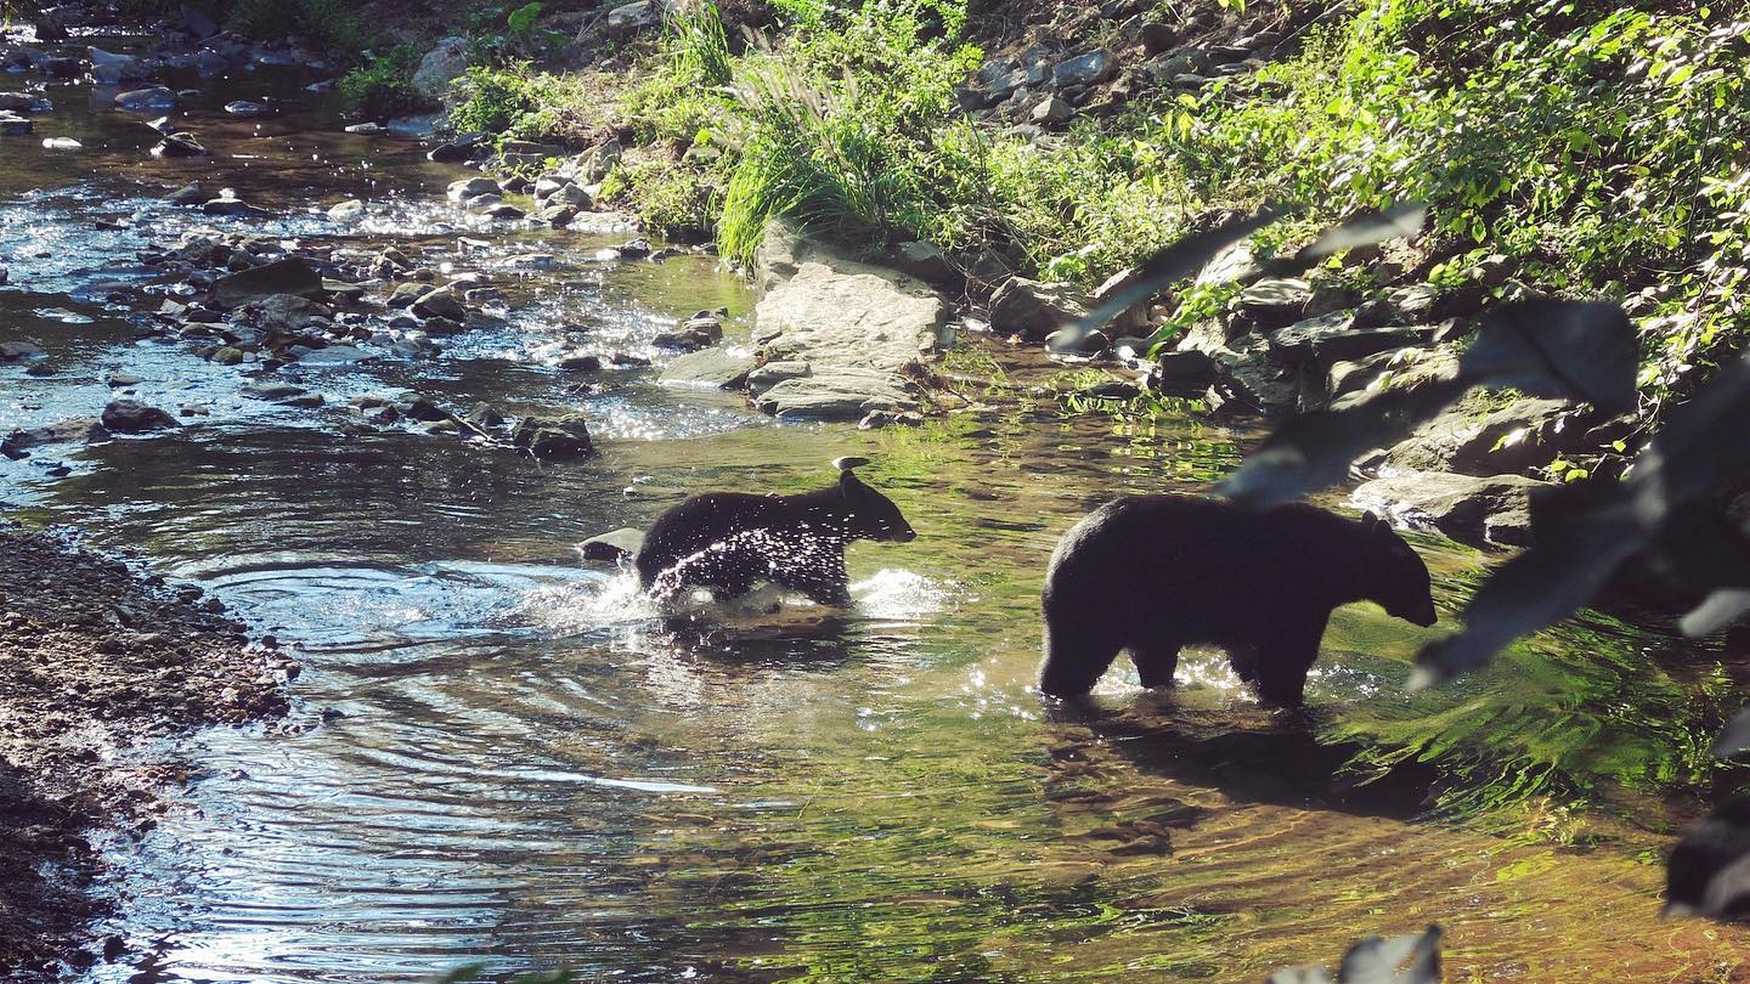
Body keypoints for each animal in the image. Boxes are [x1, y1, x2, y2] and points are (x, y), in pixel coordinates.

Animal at [640, 455, 917, 605]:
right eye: (892, 511)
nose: (911, 533)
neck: (826, 520)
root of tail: (644, 549)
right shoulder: (804, 546)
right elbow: (818, 578)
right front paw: (843, 598)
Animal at [1036, 493, 1435, 700]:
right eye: (1424, 583)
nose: (1432, 617)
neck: (1333, 564)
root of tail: (1060, 552)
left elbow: (1249, 653)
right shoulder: (1297, 594)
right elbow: (1288, 654)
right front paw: (1286, 694)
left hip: (1145, 619)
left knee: (1153, 658)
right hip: (1103, 598)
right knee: (1077, 657)